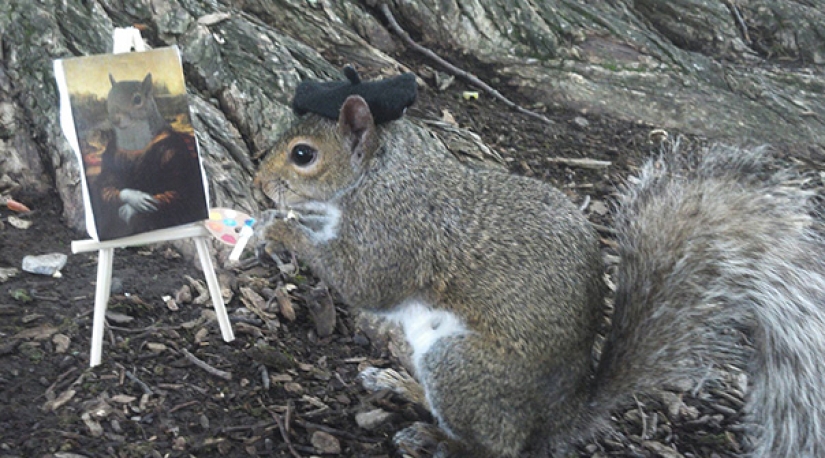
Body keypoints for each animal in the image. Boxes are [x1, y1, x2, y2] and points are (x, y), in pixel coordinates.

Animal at [256, 94, 825, 457]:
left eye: (303, 154)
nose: (260, 183)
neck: (375, 174)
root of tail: (557, 418)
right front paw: (285, 221)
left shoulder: (395, 232)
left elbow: (363, 283)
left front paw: (279, 230)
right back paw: (402, 386)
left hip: (461, 364)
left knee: (496, 448)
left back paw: (438, 440)